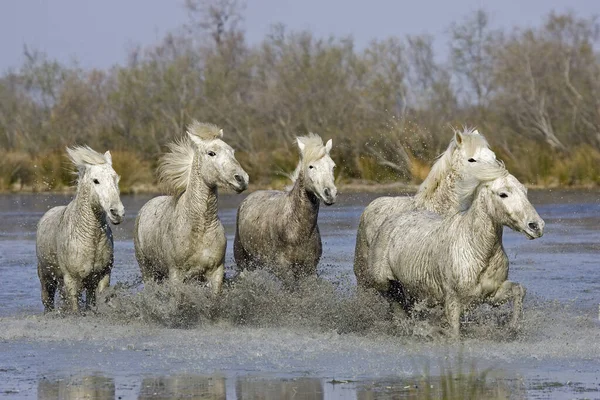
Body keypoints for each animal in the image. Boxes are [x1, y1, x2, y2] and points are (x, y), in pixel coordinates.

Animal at [35, 146, 124, 312]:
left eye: (115, 178)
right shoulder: (71, 280)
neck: (90, 237)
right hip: (46, 277)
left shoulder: (102, 276)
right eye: (96, 181)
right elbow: (75, 309)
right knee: (47, 301)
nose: (117, 212)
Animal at [134, 122, 248, 294]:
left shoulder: (216, 273)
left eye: (232, 152)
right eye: (211, 153)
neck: (199, 227)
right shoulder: (176, 274)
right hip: (147, 270)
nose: (242, 179)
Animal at [234, 134, 338, 284]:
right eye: (311, 166)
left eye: (333, 166)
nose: (330, 193)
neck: (295, 229)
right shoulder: (284, 270)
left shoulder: (309, 270)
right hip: (243, 262)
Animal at [368, 162, 548, 338]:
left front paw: (512, 327)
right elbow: (454, 333)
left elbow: (519, 290)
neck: (476, 251)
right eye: (503, 194)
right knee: (395, 303)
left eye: (525, 191)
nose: (536, 226)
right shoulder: (453, 301)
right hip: (386, 283)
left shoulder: (491, 295)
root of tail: (392, 219)